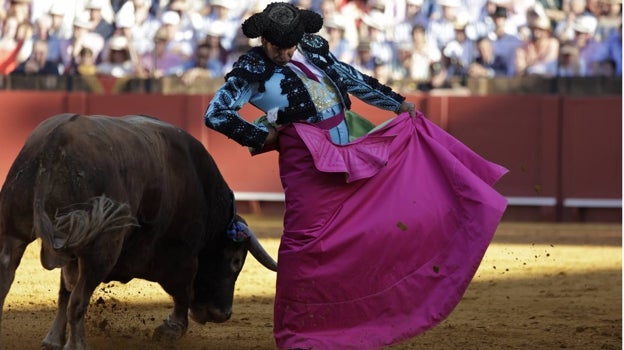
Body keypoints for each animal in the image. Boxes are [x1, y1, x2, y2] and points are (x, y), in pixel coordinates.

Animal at [0, 113, 278, 348]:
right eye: (235, 261)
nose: (222, 314)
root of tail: (56, 142)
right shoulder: (181, 257)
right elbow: (182, 292)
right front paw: (170, 329)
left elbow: (63, 294)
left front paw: (52, 341)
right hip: (101, 250)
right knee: (79, 299)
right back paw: (78, 345)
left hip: (13, 232)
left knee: (9, 278)